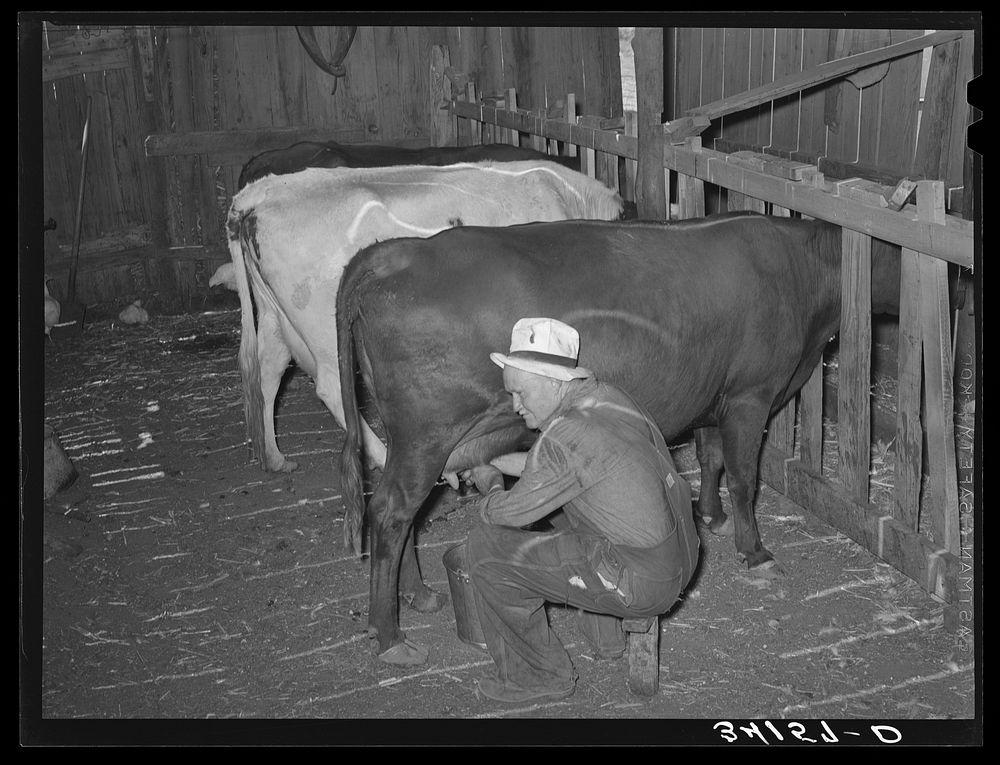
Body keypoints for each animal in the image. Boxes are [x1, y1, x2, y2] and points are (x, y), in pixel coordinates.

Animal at [338, 210, 908, 664]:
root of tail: (394, 252)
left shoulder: (713, 395)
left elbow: (711, 458)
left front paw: (712, 516)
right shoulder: (751, 396)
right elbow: (745, 477)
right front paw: (755, 551)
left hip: (417, 441)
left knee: (408, 515)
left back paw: (418, 595)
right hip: (426, 434)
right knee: (391, 511)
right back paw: (389, 635)